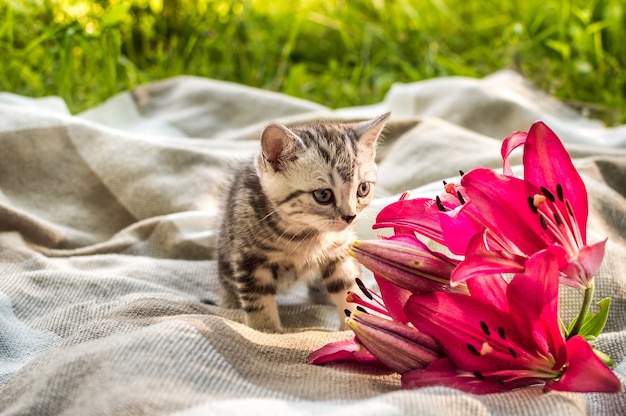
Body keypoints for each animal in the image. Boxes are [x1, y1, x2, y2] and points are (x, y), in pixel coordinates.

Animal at [217, 112, 388, 334]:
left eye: (363, 189)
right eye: (323, 195)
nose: (350, 216)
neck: (306, 234)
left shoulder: (339, 252)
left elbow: (348, 287)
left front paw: (354, 325)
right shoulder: (251, 259)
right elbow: (258, 300)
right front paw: (266, 331)